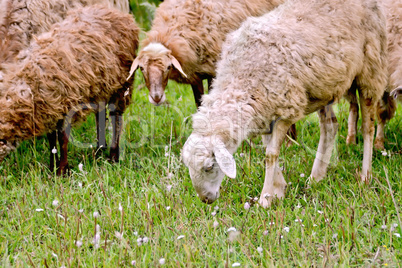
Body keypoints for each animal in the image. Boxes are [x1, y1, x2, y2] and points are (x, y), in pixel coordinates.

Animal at [0, 5, 140, 175]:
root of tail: (120, 15)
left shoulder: (67, 107)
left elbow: (63, 139)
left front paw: (62, 170)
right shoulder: (51, 111)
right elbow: (52, 140)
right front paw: (52, 166)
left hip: (123, 84)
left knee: (116, 117)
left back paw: (113, 156)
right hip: (100, 87)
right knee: (100, 114)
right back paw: (99, 150)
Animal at [127, 0, 284, 107]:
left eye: (168, 67)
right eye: (142, 68)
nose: (156, 97)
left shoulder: (213, 72)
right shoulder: (194, 76)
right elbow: (199, 104)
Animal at [181, 0, 386, 207]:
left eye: (209, 167)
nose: (206, 199)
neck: (242, 75)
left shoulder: (288, 108)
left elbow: (270, 153)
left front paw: (265, 198)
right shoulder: (264, 112)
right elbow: (268, 148)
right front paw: (279, 189)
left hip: (370, 70)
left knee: (368, 127)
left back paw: (365, 176)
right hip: (323, 85)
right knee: (330, 126)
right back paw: (316, 177)